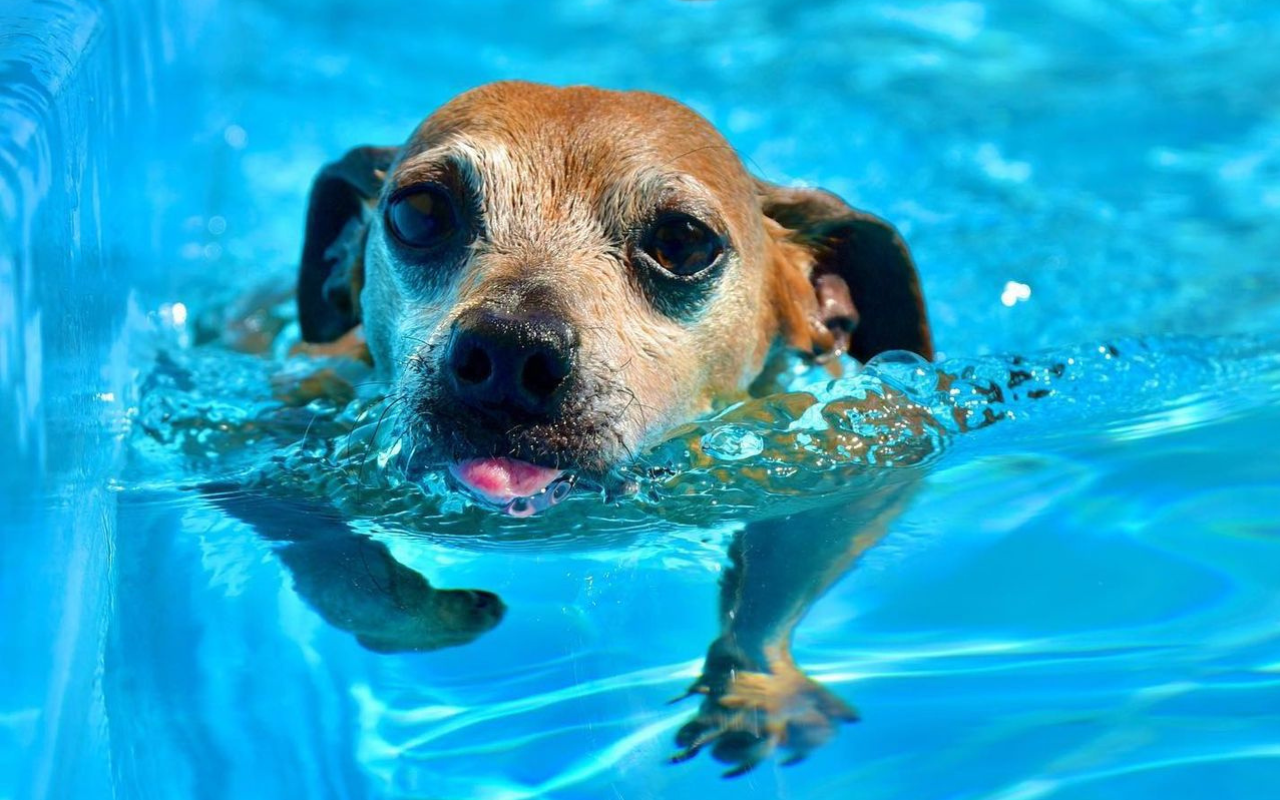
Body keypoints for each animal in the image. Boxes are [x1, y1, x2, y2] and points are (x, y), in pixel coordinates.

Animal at [254, 81, 936, 773]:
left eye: (682, 242)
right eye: (420, 212)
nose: (510, 351)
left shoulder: (861, 454)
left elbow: (785, 570)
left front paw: (755, 683)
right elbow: (331, 563)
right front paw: (429, 615)